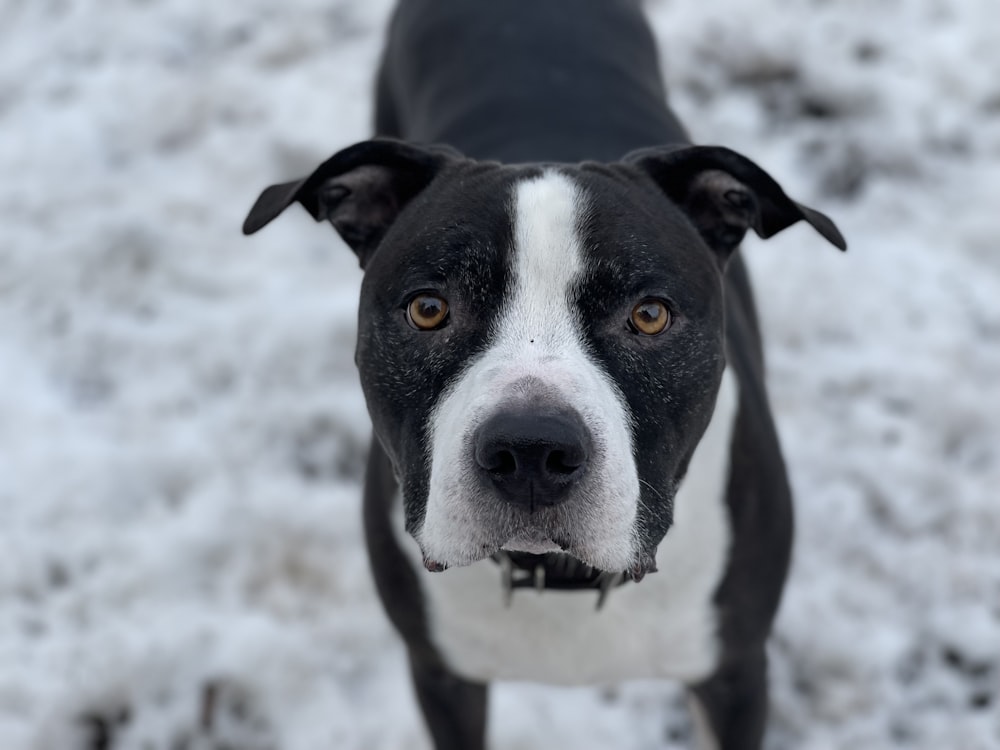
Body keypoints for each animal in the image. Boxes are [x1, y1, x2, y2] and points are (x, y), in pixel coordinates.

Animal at [240, 1, 844, 750]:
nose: (531, 450)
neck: (559, 580)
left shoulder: (733, 676)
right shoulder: (441, 674)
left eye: (649, 315)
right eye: (429, 308)